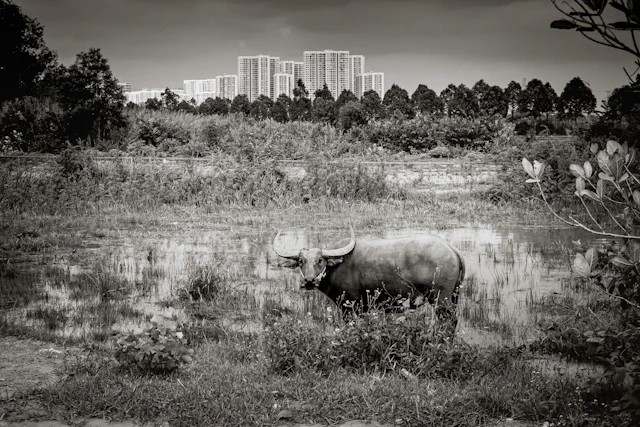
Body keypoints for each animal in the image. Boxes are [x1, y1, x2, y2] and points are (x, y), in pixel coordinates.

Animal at [272, 226, 466, 329]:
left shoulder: (350, 306)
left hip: (441, 299)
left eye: (320, 260)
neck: (337, 266)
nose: (309, 281)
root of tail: (451, 249)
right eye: (301, 261)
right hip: (453, 297)